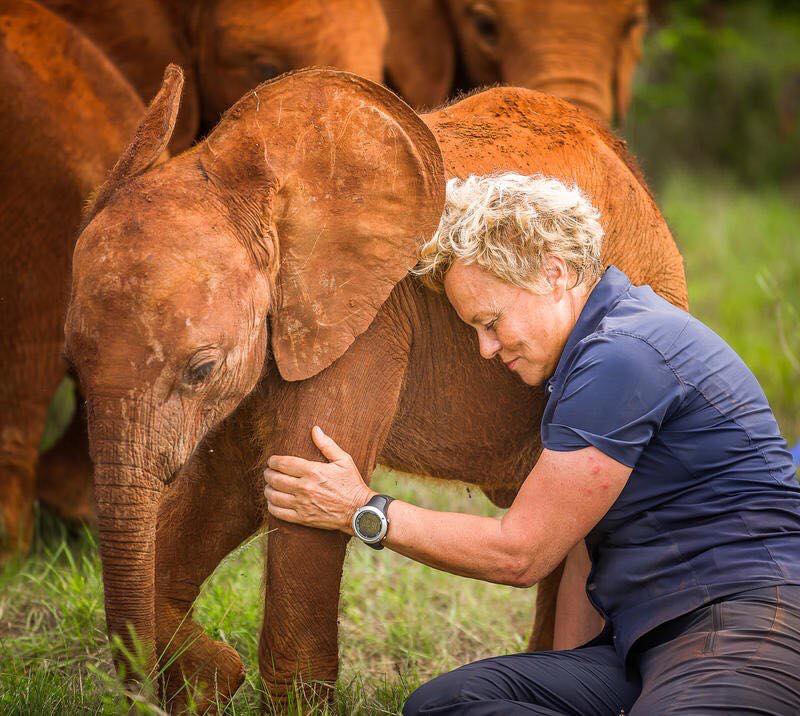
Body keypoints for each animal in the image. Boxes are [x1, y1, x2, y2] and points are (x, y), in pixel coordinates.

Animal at [65, 68, 684, 712]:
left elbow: (291, 487)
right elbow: (226, 485)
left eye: (201, 369)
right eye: (72, 362)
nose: (146, 694)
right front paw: (211, 682)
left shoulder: (368, 322)